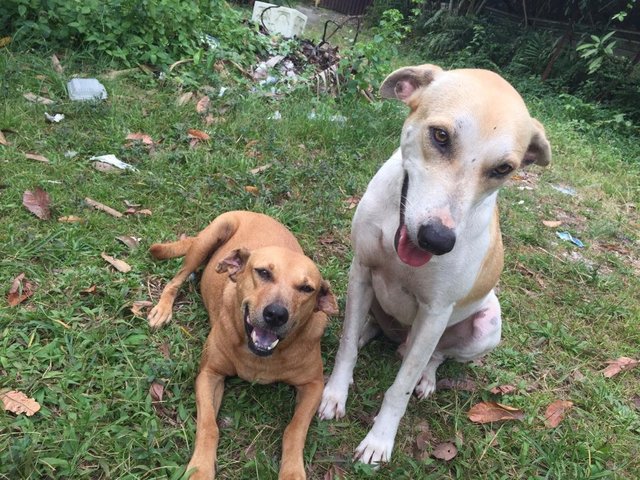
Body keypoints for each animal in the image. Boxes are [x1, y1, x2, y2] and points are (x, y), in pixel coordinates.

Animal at [149, 211, 340, 480]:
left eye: (306, 288)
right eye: (263, 272)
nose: (276, 314)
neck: (260, 356)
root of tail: (257, 212)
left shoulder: (313, 385)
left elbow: (294, 430)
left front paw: (292, 470)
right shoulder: (209, 374)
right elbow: (209, 426)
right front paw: (200, 468)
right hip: (210, 237)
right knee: (177, 278)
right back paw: (163, 308)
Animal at [320, 64, 552, 464]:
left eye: (503, 168)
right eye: (441, 136)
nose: (437, 240)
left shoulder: (434, 311)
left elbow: (401, 384)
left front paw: (380, 440)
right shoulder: (360, 270)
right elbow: (346, 345)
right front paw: (335, 393)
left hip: (487, 326)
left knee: (437, 355)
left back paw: (426, 377)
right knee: (369, 325)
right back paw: (368, 331)